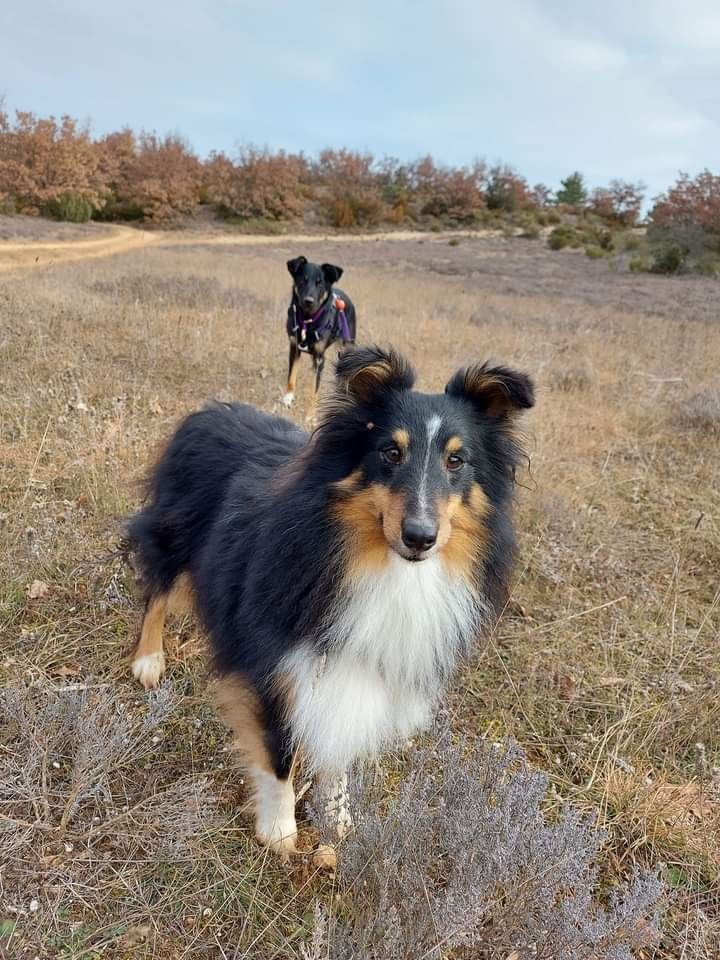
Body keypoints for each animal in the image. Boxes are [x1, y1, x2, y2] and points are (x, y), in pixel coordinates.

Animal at [284, 256, 358, 406]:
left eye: (320, 284)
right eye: (303, 280)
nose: (308, 301)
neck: (308, 320)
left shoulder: (320, 359)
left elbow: (314, 391)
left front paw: (311, 412)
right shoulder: (294, 348)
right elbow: (291, 376)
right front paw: (288, 397)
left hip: (346, 346)